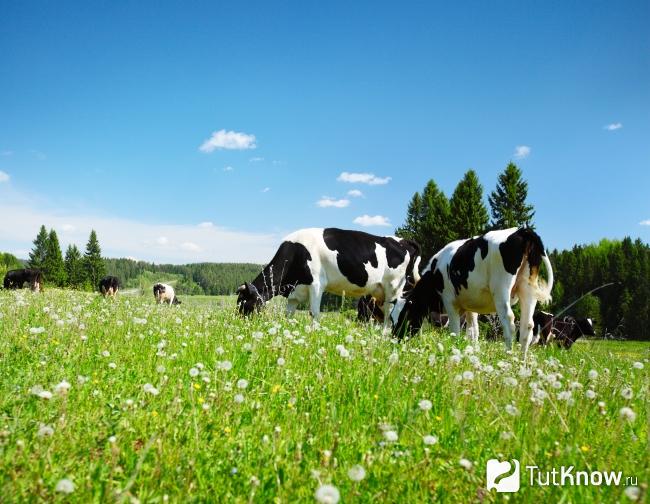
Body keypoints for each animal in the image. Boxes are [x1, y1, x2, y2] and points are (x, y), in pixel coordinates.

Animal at [237, 228, 419, 332]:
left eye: (244, 303)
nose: (240, 325)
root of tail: (403, 240)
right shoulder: (295, 293)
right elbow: (289, 315)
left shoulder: (316, 284)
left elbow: (314, 313)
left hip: (394, 287)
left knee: (391, 315)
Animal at [393, 227, 554, 358]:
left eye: (404, 315)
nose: (395, 340)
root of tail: (522, 231)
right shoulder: (470, 306)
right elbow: (473, 331)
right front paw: (473, 351)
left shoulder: (450, 301)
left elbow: (455, 331)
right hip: (528, 290)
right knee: (528, 326)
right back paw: (521, 362)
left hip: (501, 289)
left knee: (509, 322)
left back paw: (508, 357)